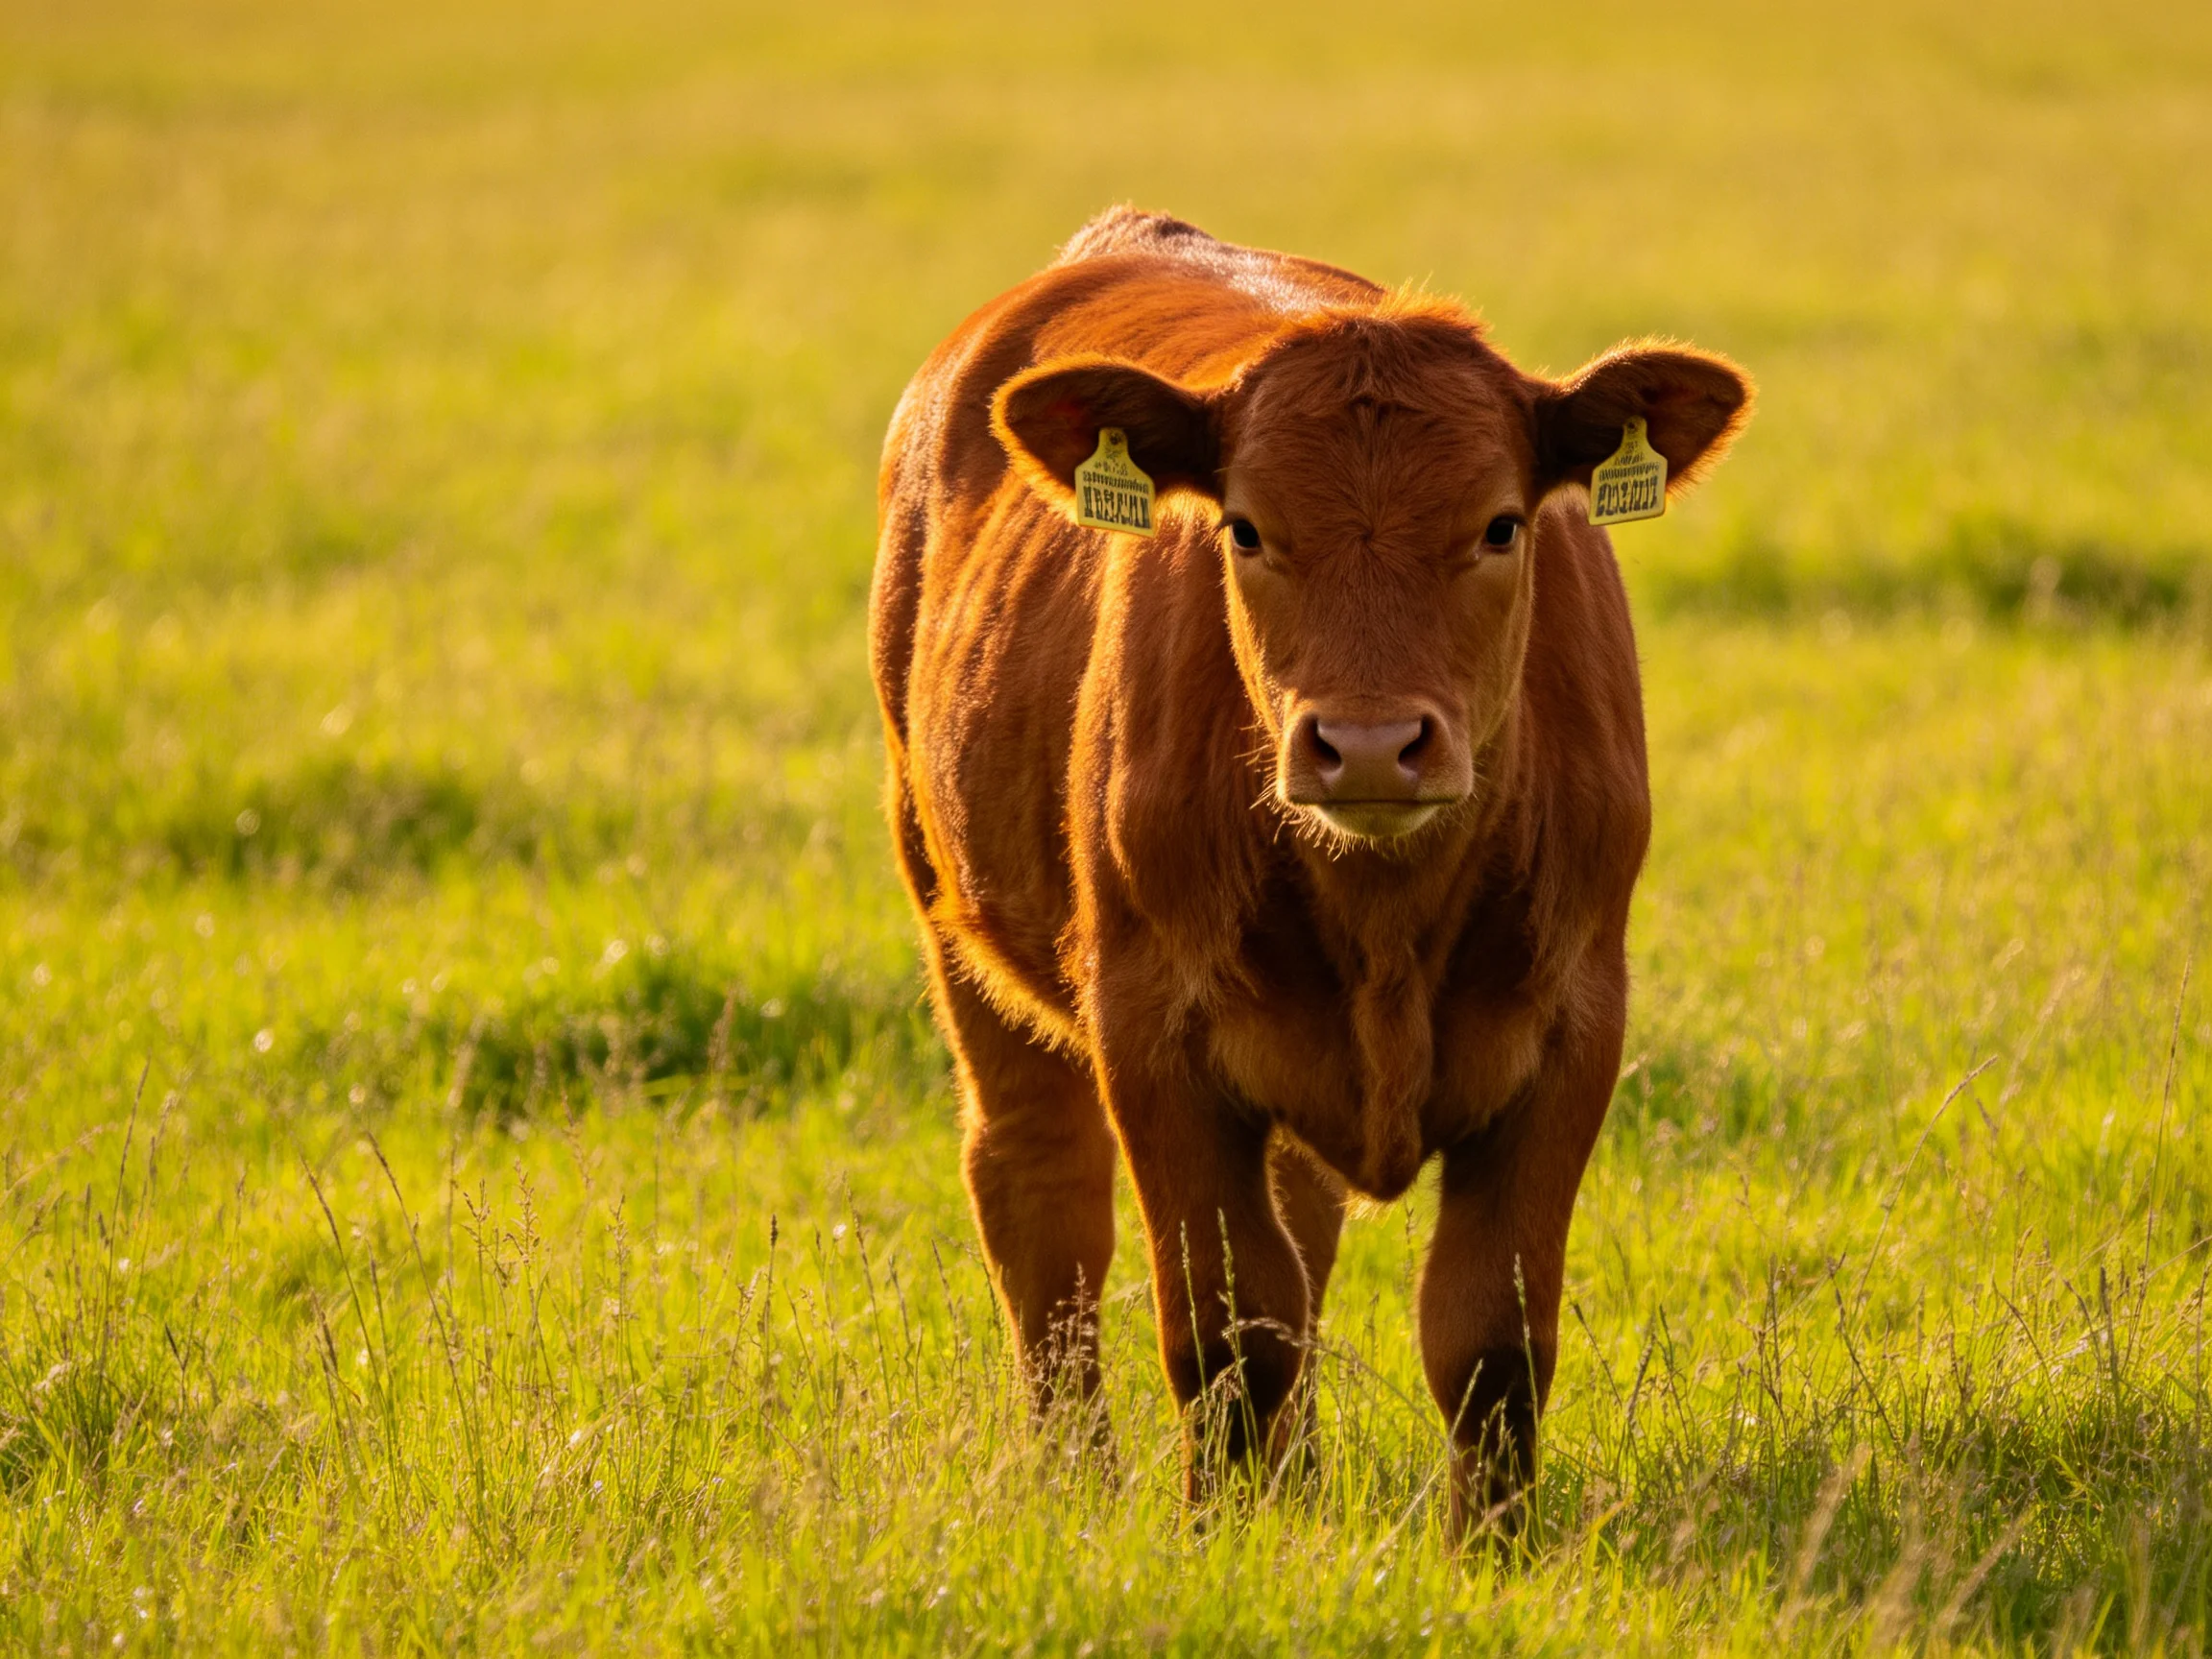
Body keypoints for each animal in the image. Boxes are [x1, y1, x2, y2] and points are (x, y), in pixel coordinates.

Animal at [868, 207, 1750, 1537]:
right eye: (1245, 528)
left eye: (1502, 524)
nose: (1371, 744)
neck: (1387, 920)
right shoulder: (1153, 1031)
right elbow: (1229, 1328)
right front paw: (1224, 1536)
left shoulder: (1575, 1022)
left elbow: (1488, 1338)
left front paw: (1488, 1550)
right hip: (954, 920)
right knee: (1040, 1202)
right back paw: (1078, 1479)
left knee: (1300, 1221)